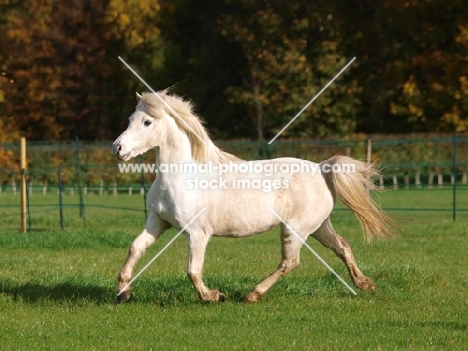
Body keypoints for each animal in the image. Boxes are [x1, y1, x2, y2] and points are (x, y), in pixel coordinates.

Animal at [113, 92, 394, 304]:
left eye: (147, 122)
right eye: (129, 118)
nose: (118, 148)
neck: (184, 176)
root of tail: (321, 168)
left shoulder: (197, 233)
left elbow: (192, 271)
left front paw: (214, 296)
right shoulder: (157, 221)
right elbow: (135, 248)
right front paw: (123, 292)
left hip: (296, 229)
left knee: (290, 262)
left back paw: (253, 294)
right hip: (318, 226)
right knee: (342, 246)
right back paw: (364, 283)